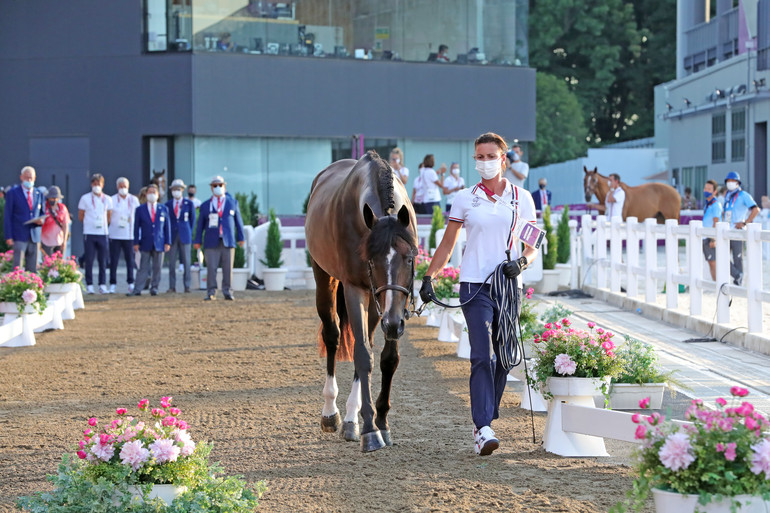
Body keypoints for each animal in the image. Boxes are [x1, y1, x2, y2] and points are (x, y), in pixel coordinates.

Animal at [304, 150, 416, 450]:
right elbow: (363, 356)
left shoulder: (386, 303)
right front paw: (370, 430)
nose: (394, 324)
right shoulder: (356, 290)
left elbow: (386, 358)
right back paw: (331, 413)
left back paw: (350, 419)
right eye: (372, 260)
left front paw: (381, 422)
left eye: (409, 258)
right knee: (332, 335)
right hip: (325, 278)